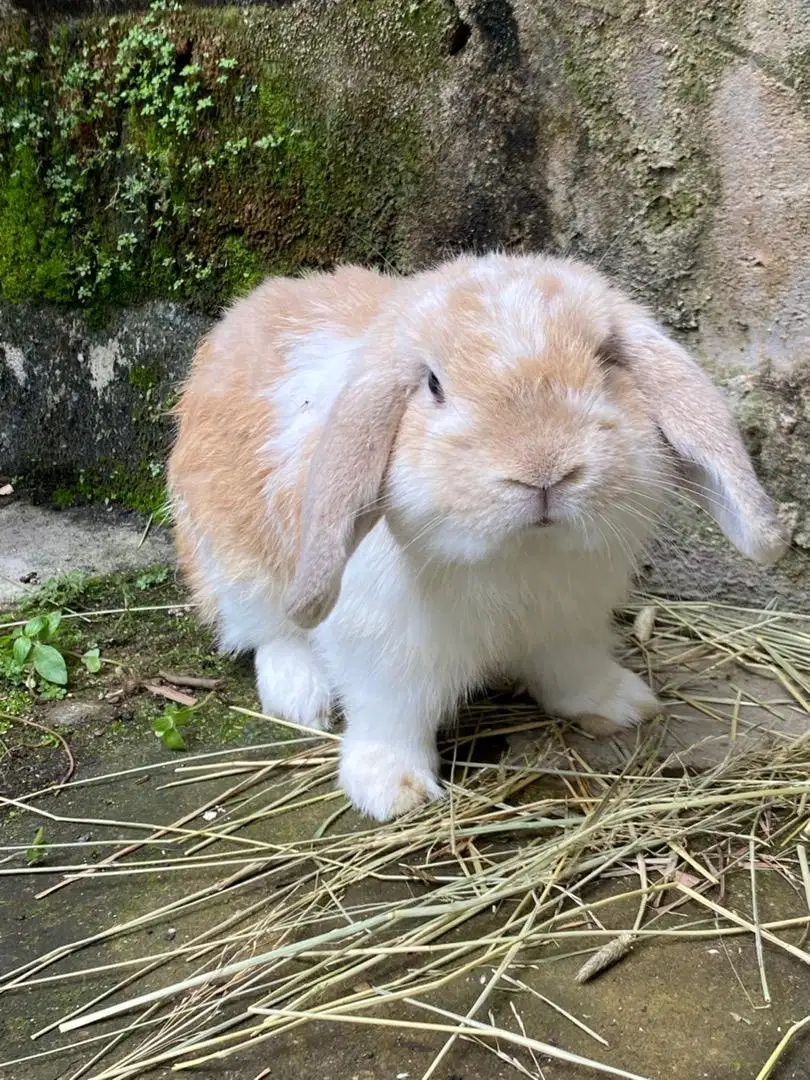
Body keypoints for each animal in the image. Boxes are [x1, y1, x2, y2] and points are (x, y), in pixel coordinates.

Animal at [168, 252, 790, 816]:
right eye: (433, 384)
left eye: (607, 359)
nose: (544, 469)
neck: (522, 554)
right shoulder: (383, 650)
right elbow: (390, 715)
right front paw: (392, 791)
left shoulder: (570, 625)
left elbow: (572, 672)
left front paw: (622, 705)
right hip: (232, 562)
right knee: (265, 631)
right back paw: (300, 694)